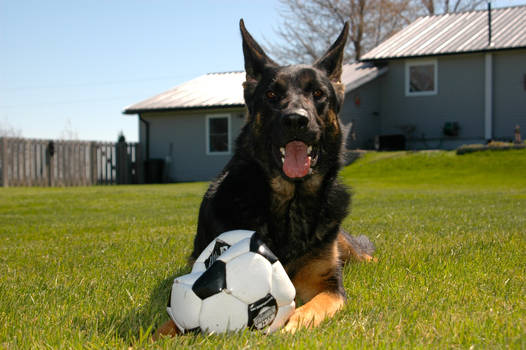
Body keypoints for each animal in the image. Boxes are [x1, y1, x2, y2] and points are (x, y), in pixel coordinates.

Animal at [157, 20, 376, 338]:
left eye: (318, 94)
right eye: (272, 95)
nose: (295, 120)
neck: (289, 206)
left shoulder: (330, 286)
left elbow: (313, 307)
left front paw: (292, 323)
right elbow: (171, 320)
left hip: (344, 245)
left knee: (364, 254)